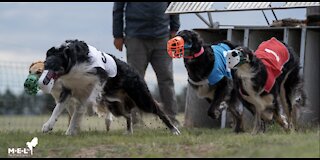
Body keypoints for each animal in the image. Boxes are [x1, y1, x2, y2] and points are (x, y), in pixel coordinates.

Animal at [43, 39, 180, 136]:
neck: (73, 60)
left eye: (53, 60)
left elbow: (87, 103)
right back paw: (129, 132)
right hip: (115, 106)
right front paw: (48, 126)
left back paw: (174, 130)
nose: (44, 64)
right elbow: (58, 110)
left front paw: (88, 112)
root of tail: (133, 70)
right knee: (128, 115)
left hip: (142, 99)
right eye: (47, 57)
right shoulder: (68, 90)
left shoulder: (100, 77)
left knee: (159, 111)